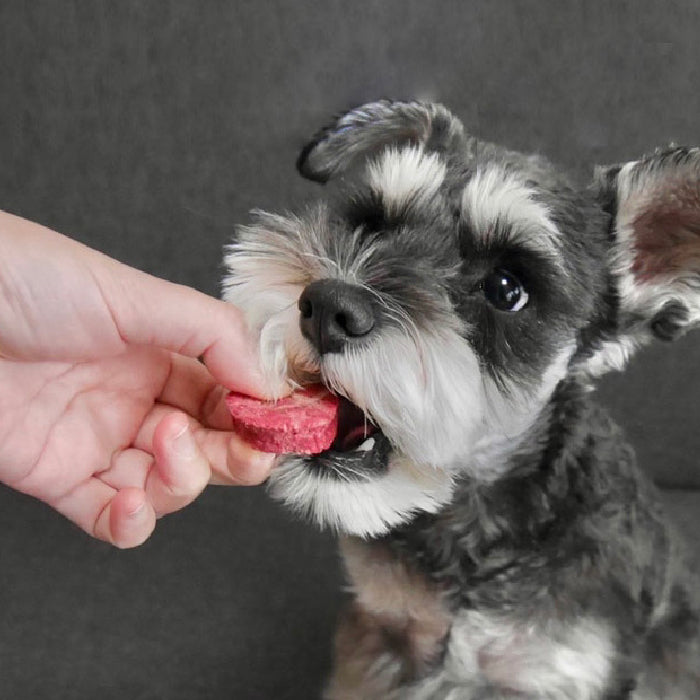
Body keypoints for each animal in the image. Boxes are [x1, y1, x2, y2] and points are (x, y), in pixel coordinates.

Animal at [221, 100, 696, 700]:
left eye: (508, 288)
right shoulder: (383, 637)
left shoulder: (559, 674)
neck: (473, 530)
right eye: (370, 222)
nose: (327, 306)